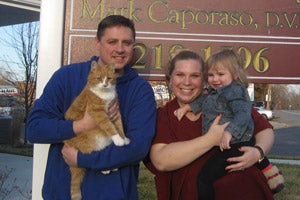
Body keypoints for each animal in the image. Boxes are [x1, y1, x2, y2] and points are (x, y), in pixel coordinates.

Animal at [63, 60, 129, 200]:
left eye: (109, 78)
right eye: (99, 78)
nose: (105, 84)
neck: (106, 95)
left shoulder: (116, 111)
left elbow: (119, 126)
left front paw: (124, 138)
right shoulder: (99, 113)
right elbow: (110, 126)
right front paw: (118, 139)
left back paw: (112, 167)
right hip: (90, 143)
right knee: (92, 157)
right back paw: (105, 169)